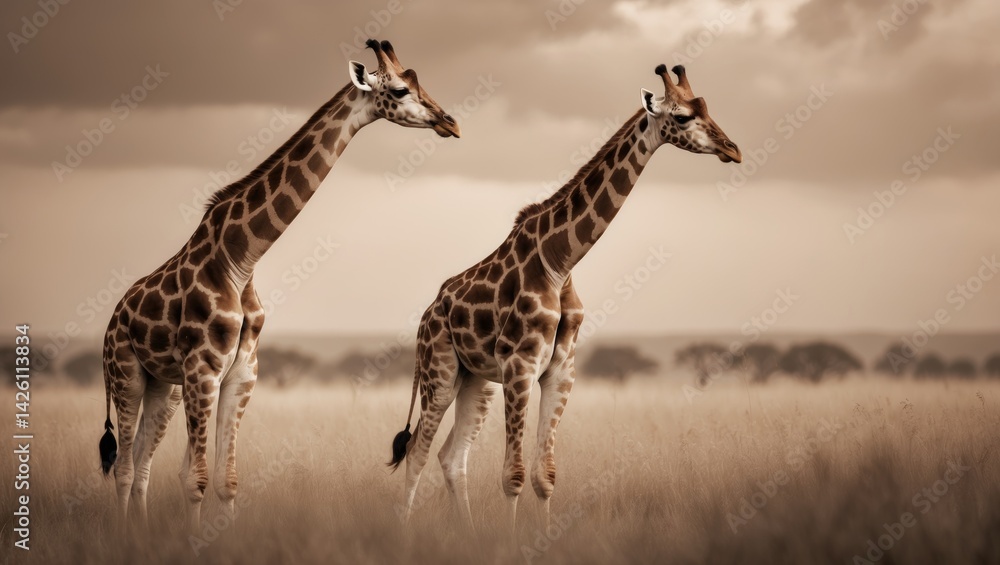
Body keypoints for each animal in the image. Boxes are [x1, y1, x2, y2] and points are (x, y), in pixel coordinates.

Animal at [98, 39, 460, 533]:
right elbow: (195, 479)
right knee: (122, 464)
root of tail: (112, 320)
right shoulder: (204, 369)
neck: (240, 260)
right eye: (402, 89)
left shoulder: (242, 373)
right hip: (127, 374)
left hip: (164, 387)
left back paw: (141, 532)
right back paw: (125, 534)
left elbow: (226, 480)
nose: (450, 122)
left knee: (140, 462)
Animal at [388, 63, 742, 530]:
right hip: (440, 372)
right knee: (417, 453)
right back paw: (405, 534)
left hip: (476, 381)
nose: (733, 149)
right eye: (682, 117)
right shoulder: (519, 365)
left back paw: (467, 533)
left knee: (452, 456)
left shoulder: (561, 370)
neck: (560, 262)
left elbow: (545, 475)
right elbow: (514, 475)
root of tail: (425, 318)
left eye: (707, 108)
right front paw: (512, 540)